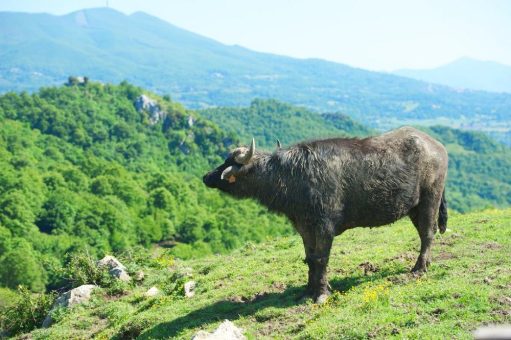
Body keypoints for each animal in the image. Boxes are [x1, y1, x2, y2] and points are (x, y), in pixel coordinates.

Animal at [204, 127, 448, 302]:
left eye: (228, 162)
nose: (206, 177)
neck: (293, 176)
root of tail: (437, 146)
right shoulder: (304, 227)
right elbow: (310, 259)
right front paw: (307, 291)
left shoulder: (324, 227)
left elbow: (321, 258)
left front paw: (321, 293)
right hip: (414, 207)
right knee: (424, 233)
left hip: (430, 199)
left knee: (428, 233)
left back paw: (419, 268)